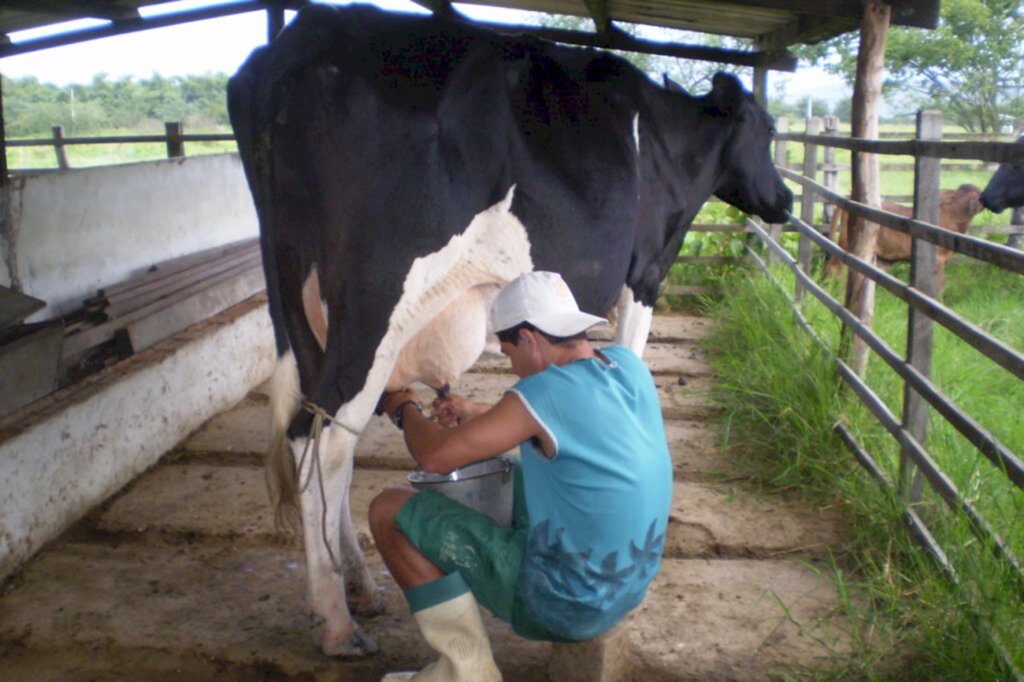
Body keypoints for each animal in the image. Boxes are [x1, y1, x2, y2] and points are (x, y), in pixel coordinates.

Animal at [230, 2, 790, 655]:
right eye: (769, 130)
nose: (786, 200)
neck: (669, 143)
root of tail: (298, 42)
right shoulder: (645, 273)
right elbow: (632, 359)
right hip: (374, 302)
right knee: (326, 440)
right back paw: (337, 620)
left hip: (300, 306)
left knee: (320, 427)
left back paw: (361, 589)